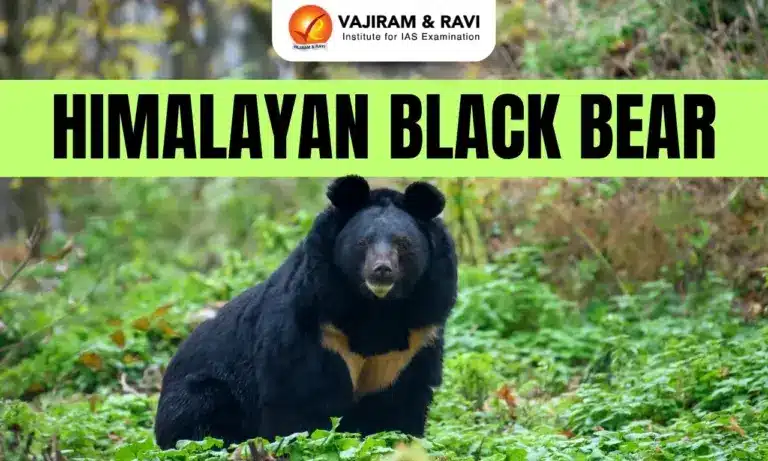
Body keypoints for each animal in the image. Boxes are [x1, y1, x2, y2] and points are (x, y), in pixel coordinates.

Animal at [154, 175, 458, 450]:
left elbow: (402, 402)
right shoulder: (316, 327)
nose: (381, 270)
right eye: (363, 242)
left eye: (403, 243)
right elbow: (301, 396)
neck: (377, 307)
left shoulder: (414, 341)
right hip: (201, 392)